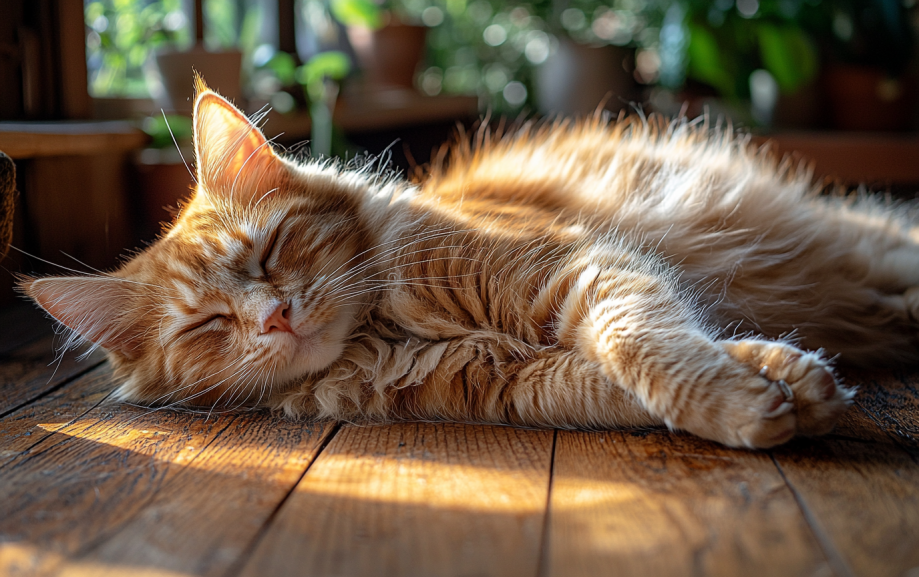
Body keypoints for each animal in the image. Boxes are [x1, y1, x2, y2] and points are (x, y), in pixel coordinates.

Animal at [19, 80, 919, 450]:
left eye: (269, 252)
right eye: (208, 323)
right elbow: (629, 380)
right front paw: (779, 385)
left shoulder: (583, 269)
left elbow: (645, 347)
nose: (274, 317)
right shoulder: (517, 383)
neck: (382, 331)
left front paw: (740, 398)